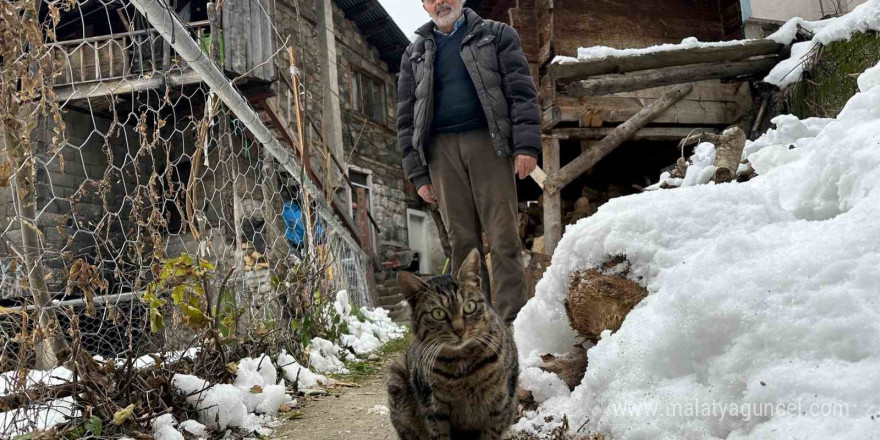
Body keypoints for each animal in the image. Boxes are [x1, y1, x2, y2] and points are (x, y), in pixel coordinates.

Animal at [388, 249, 520, 438]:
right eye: (438, 313)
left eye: (470, 306)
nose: (459, 330)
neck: (462, 366)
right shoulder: (434, 410)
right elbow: (440, 434)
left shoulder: (499, 405)